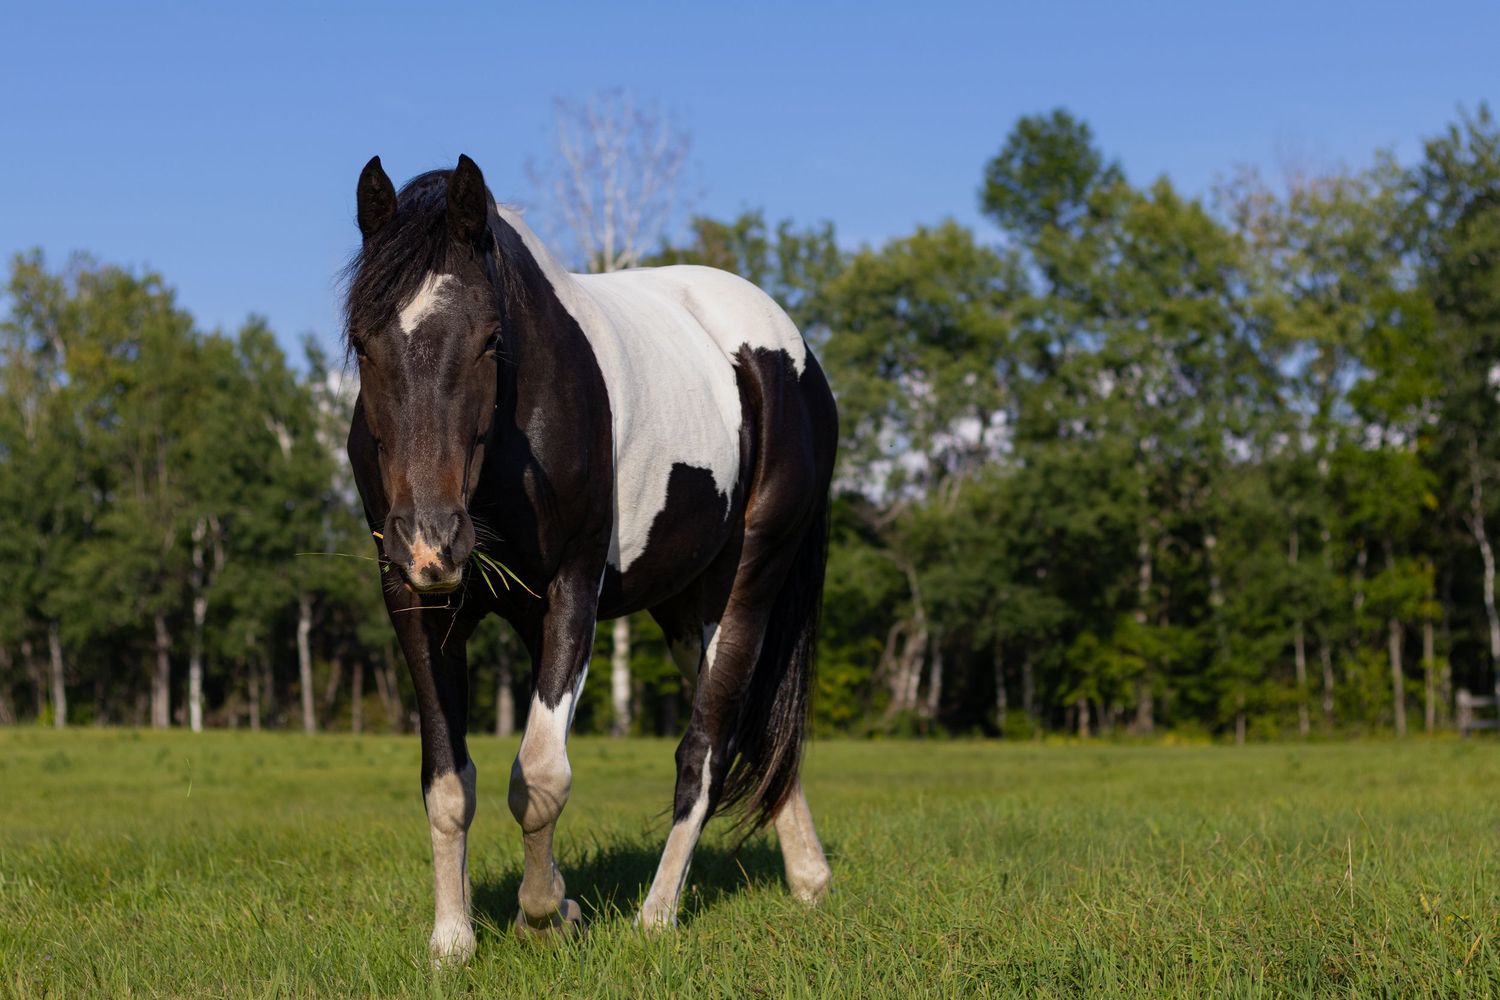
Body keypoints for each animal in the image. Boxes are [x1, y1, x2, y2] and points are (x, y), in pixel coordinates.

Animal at [342, 154, 838, 961]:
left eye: (490, 339)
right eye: (363, 342)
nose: (431, 538)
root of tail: (789, 352)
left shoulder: (573, 593)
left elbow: (541, 775)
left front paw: (546, 912)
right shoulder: (416, 602)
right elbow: (448, 783)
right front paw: (453, 938)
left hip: (746, 589)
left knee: (706, 748)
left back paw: (658, 914)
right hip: (684, 613)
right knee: (752, 727)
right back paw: (809, 878)